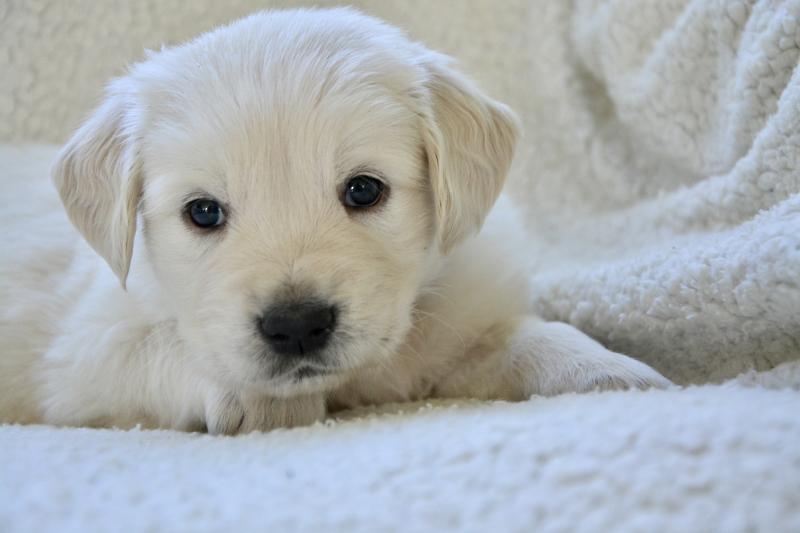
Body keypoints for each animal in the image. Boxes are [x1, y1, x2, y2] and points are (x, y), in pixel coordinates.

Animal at [0, 7, 668, 432]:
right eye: (204, 212)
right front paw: (259, 398)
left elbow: (520, 335)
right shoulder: (85, 353)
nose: (295, 325)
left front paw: (608, 370)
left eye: (364, 190)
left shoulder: (456, 323)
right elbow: (164, 347)